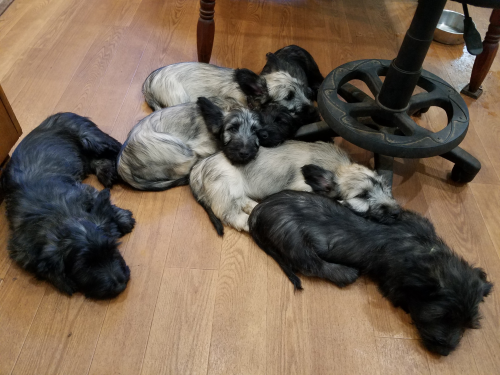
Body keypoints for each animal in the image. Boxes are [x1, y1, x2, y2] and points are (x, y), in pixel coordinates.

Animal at [1, 113, 135, 302]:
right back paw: (107, 171)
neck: (60, 215)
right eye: (85, 266)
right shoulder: (21, 250)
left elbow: (103, 202)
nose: (120, 284)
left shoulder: (84, 191)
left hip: (93, 138)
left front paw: (123, 219)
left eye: (112, 248)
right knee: (93, 160)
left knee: (117, 149)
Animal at [117, 97, 266, 191]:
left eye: (255, 131)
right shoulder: (200, 147)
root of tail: (122, 164)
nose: (245, 153)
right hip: (180, 151)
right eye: (232, 128)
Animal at [189, 141, 400, 235]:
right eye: (362, 196)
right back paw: (250, 222)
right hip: (228, 186)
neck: (337, 167)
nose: (397, 212)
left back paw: (254, 207)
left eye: (384, 186)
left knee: (243, 202)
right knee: (230, 214)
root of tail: (198, 168)